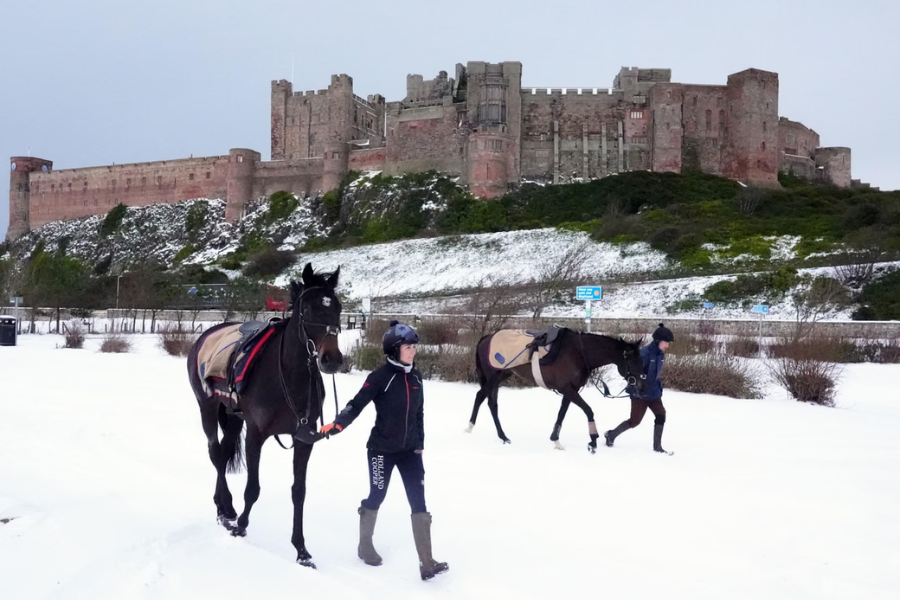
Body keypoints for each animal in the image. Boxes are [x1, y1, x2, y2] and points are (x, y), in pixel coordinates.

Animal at [186, 263, 342, 568]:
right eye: (308, 310)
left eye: (338, 308)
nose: (332, 359)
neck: (288, 376)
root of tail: (205, 336)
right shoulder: (256, 434)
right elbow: (253, 488)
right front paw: (241, 527)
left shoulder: (304, 440)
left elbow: (299, 491)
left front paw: (301, 550)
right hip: (207, 408)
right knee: (215, 454)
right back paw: (225, 510)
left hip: (233, 417)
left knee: (224, 452)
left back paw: (225, 507)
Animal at [466, 328, 646, 453]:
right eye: (633, 361)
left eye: (641, 360)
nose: (641, 387)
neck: (579, 352)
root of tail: (487, 338)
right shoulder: (567, 389)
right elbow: (588, 410)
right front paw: (593, 440)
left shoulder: (570, 390)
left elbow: (562, 413)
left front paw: (556, 440)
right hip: (493, 377)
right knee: (480, 396)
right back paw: (470, 428)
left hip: (501, 376)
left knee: (491, 403)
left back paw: (502, 436)